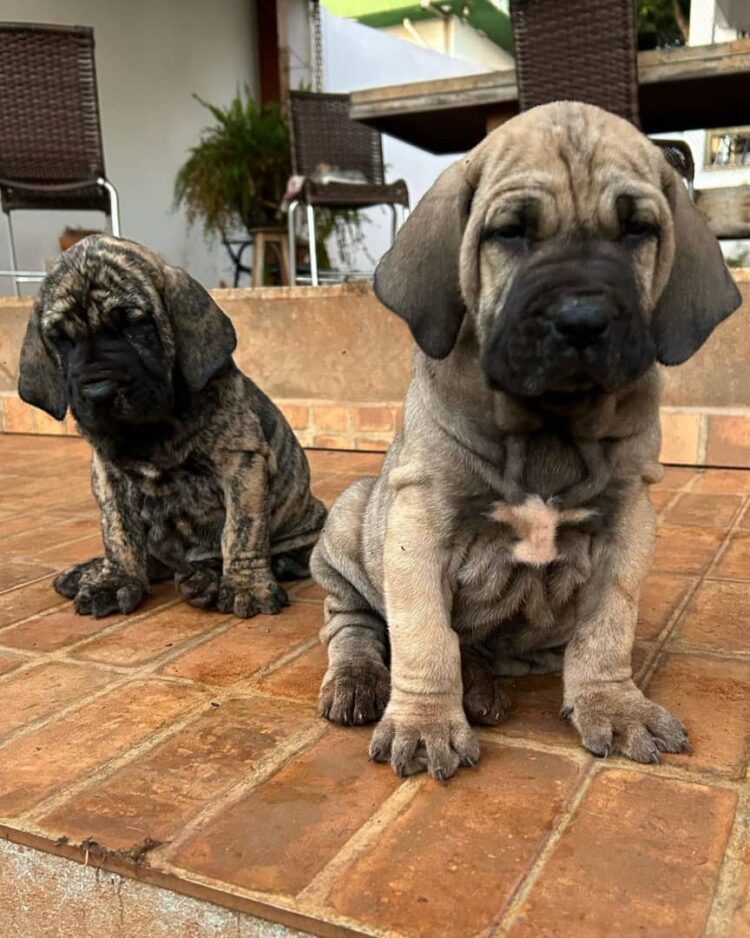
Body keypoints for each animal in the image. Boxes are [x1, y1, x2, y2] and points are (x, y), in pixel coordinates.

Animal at [19, 234, 326, 616]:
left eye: (134, 324)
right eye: (61, 338)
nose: (99, 392)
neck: (151, 427)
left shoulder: (241, 462)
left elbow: (242, 530)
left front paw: (246, 586)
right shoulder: (108, 474)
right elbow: (118, 531)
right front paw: (115, 580)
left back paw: (212, 578)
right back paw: (97, 571)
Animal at [312, 100, 748, 776]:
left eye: (636, 231)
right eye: (511, 232)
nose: (582, 319)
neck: (549, 428)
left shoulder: (628, 522)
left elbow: (607, 628)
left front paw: (612, 705)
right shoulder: (418, 521)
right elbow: (424, 635)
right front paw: (426, 722)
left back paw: (482, 686)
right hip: (350, 521)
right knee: (352, 622)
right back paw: (362, 681)